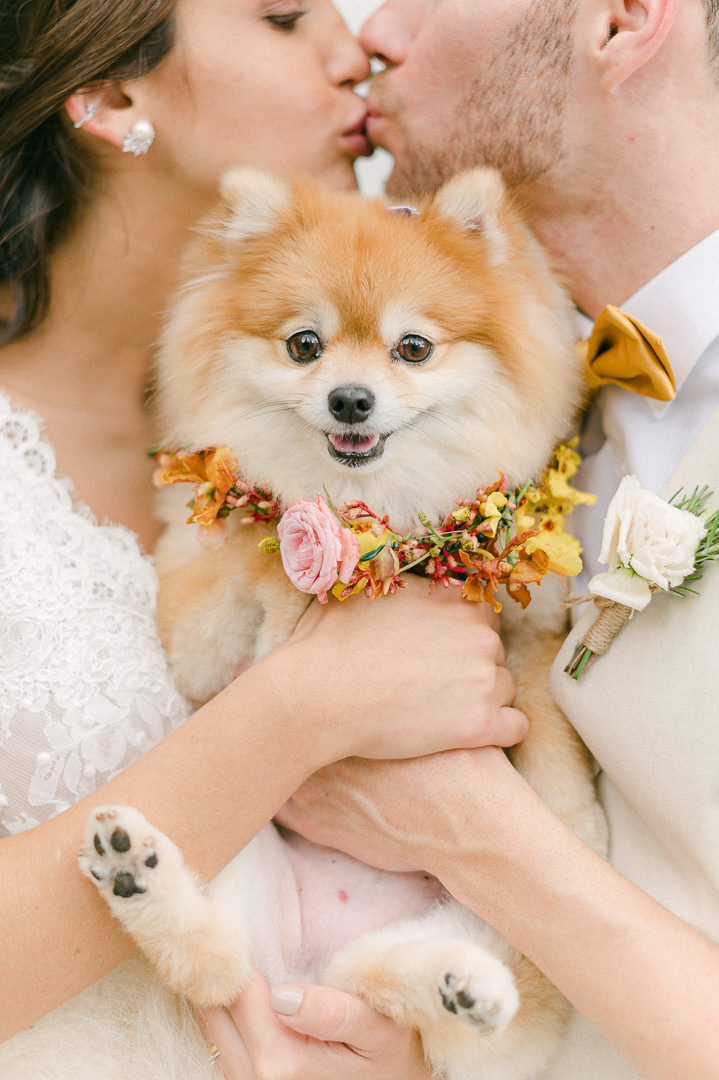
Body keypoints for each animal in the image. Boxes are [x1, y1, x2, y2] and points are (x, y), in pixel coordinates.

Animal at [0, 166, 604, 1080]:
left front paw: (572, 814)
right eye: (304, 346)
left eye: (412, 348)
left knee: (435, 1003)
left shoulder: (530, 632)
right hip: (230, 826)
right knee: (212, 966)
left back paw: (464, 988)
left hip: (472, 940)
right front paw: (300, 559)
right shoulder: (192, 622)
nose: (349, 398)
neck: (382, 514)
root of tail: (302, 967)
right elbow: (260, 551)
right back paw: (137, 874)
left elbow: (545, 723)